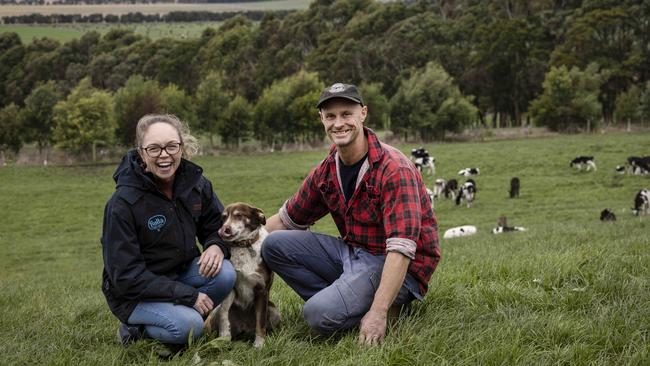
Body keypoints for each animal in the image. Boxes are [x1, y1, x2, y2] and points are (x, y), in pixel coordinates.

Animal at [206, 202, 280, 348]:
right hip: (215, 312)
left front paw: (259, 345)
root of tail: (245, 329)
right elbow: (224, 314)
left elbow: (260, 323)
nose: (225, 229)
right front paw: (224, 338)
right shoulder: (231, 289)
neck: (244, 245)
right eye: (224, 218)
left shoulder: (261, 291)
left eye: (239, 215)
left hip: (274, 311)